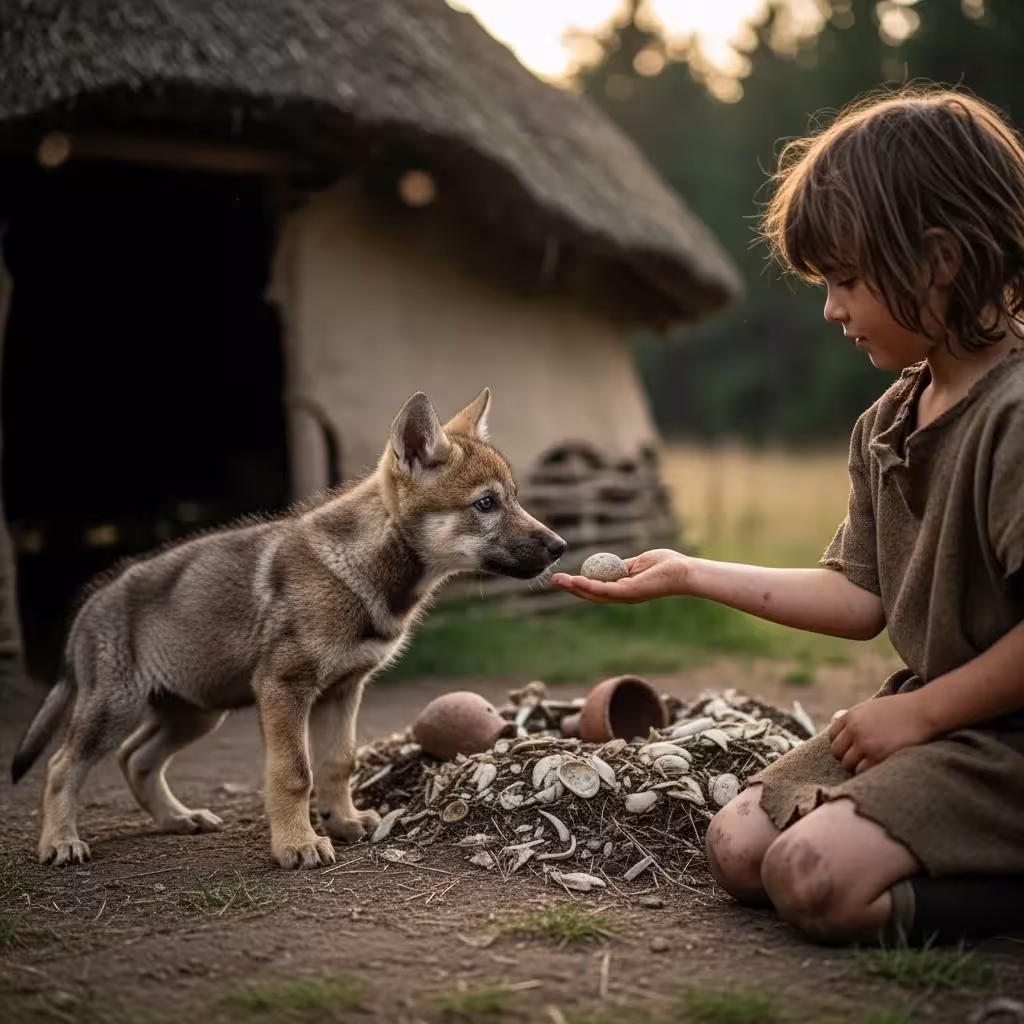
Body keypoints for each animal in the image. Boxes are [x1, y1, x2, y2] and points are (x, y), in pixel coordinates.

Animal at [11, 388, 566, 869]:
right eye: (486, 504)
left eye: (515, 498)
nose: (559, 547)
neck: (362, 569)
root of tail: (89, 607)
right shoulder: (285, 688)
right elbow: (294, 773)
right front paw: (298, 845)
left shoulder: (344, 691)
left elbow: (339, 763)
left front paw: (343, 821)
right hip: (117, 709)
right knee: (62, 766)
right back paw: (60, 842)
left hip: (195, 710)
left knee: (135, 759)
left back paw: (178, 818)